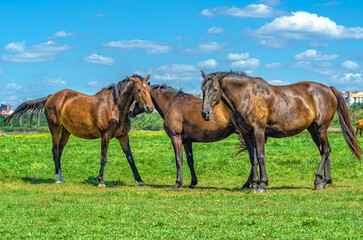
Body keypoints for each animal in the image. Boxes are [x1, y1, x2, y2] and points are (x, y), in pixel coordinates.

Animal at [4, 74, 154, 187]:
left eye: (149, 88)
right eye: (139, 89)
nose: (150, 108)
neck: (114, 106)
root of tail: (51, 97)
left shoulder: (123, 136)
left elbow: (130, 158)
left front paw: (140, 180)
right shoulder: (105, 136)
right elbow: (104, 158)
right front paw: (101, 181)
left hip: (66, 132)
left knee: (59, 151)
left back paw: (60, 176)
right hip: (55, 128)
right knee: (55, 151)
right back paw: (58, 178)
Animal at [200, 71, 362, 193]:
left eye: (215, 89)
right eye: (202, 90)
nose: (205, 113)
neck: (247, 96)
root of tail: (328, 89)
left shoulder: (259, 130)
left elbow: (261, 156)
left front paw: (262, 184)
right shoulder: (246, 134)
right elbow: (253, 158)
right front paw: (254, 183)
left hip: (320, 127)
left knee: (326, 150)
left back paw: (319, 180)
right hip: (313, 130)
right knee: (324, 151)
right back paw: (324, 182)